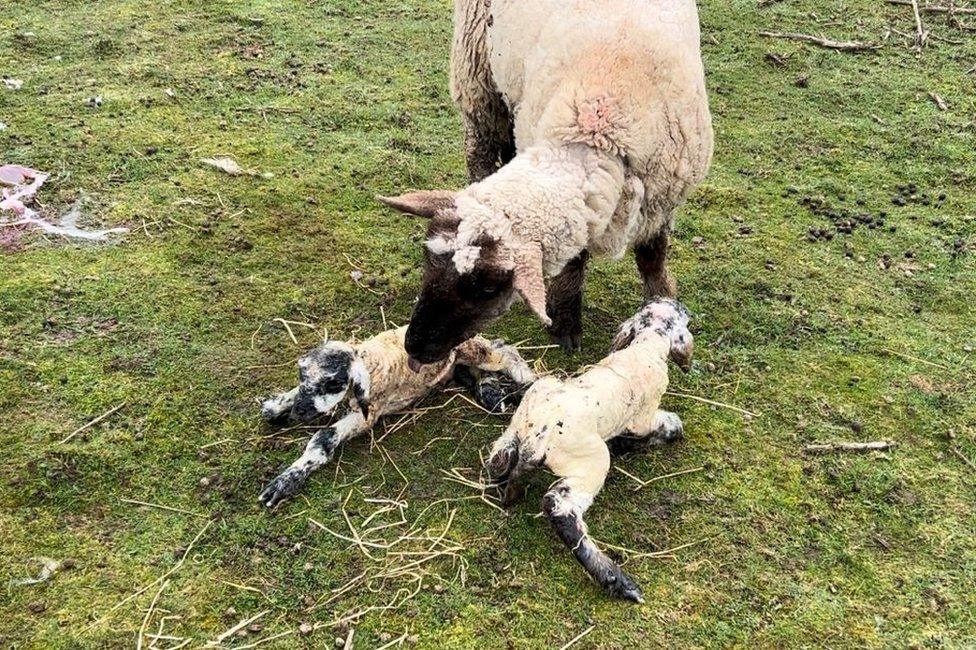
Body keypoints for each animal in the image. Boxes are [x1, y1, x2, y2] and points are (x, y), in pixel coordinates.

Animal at [255, 324, 536, 506]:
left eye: (332, 383)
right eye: (301, 376)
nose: (298, 414)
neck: (366, 359)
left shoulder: (369, 414)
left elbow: (324, 437)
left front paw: (285, 481)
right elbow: (283, 401)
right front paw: (276, 406)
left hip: (473, 349)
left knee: (503, 350)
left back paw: (524, 378)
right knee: (470, 368)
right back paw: (489, 393)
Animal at [484, 298, 692, 604]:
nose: (677, 303)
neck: (644, 347)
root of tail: (538, 435)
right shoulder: (643, 417)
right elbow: (667, 425)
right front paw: (665, 431)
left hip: (526, 412)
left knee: (500, 459)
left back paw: (510, 490)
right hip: (591, 462)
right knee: (559, 507)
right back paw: (617, 580)